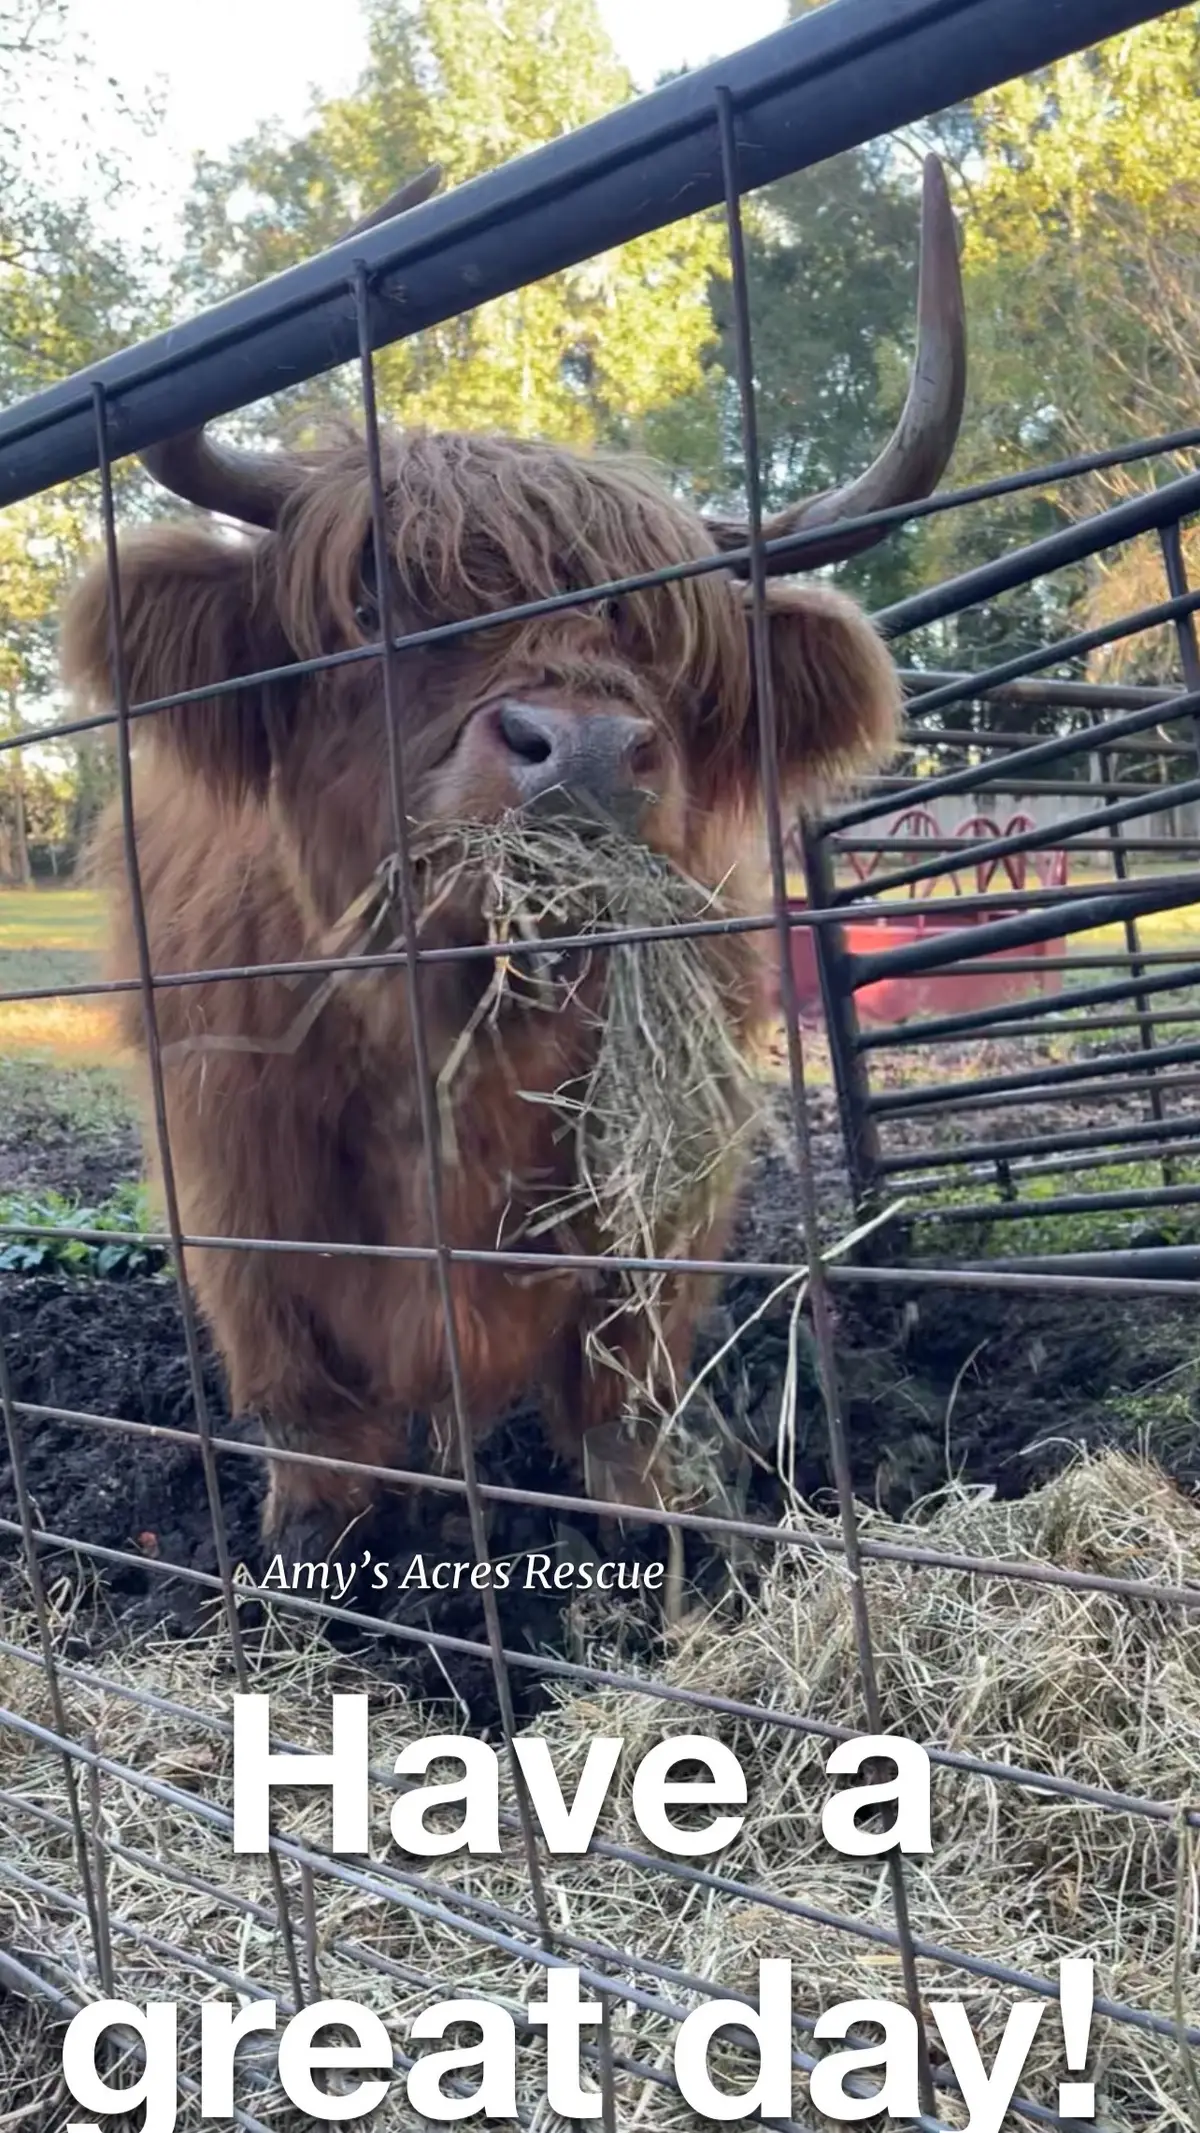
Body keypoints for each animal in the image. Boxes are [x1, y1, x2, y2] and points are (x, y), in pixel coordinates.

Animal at [63, 160, 965, 1570]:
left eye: (669, 644)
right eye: (371, 604)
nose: (582, 748)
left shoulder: (669, 1171)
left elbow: (624, 1366)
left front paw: (677, 1516)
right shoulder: (227, 1154)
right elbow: (301, 1386)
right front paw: (313, 1542)